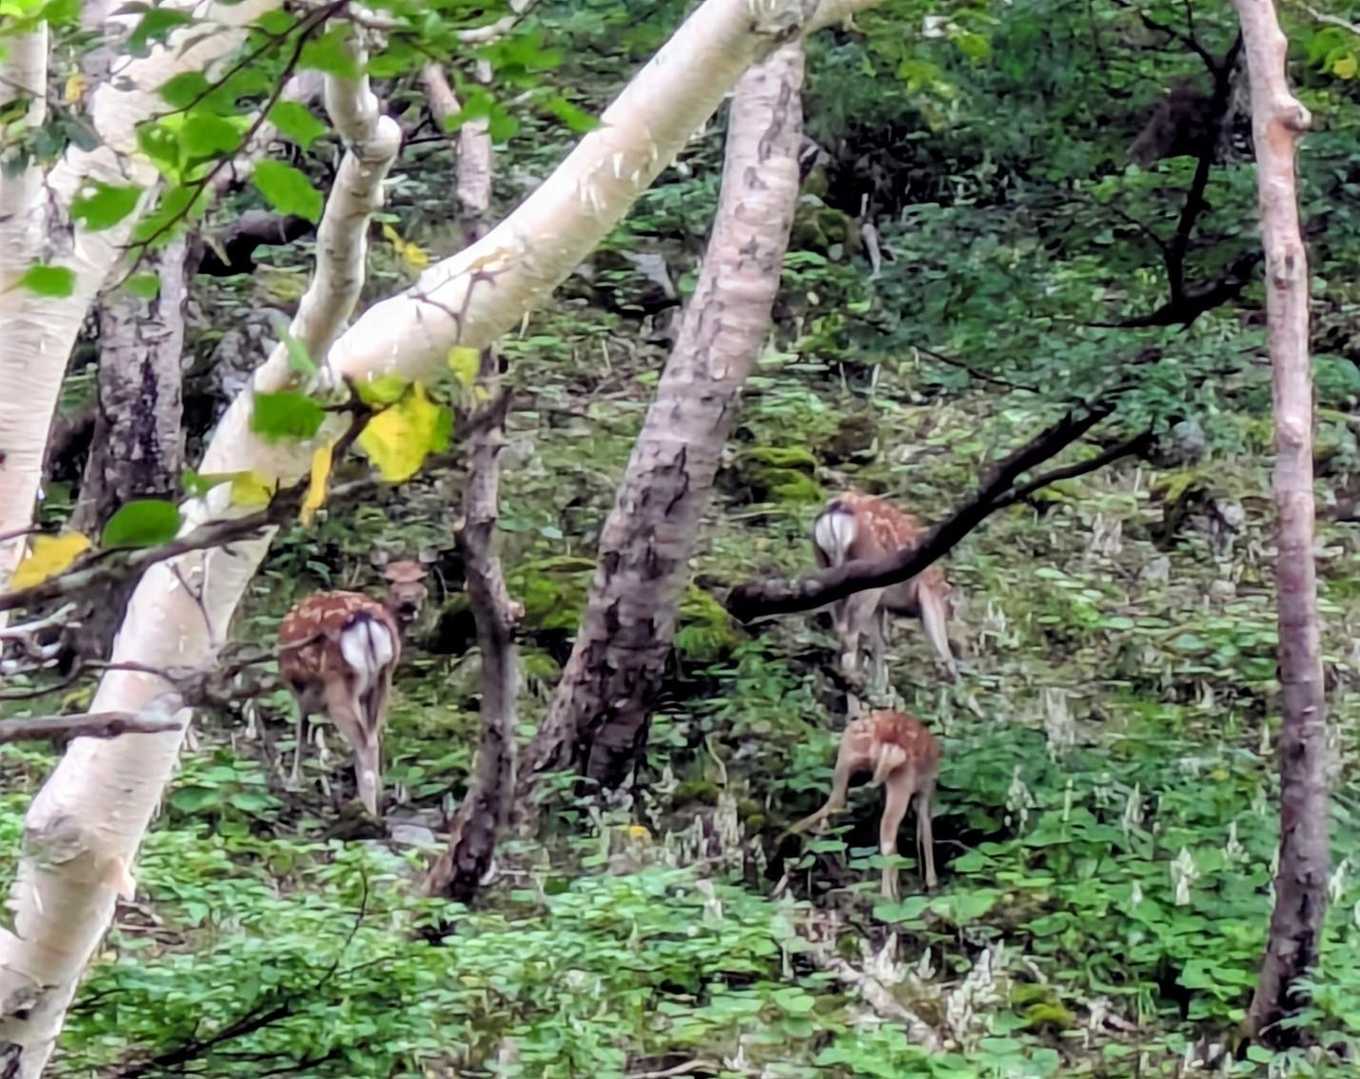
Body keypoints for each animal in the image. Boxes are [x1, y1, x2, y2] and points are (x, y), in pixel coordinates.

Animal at [276, 559, 429, 817]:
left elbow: (301, 729)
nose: (408, 603)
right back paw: (376, 801)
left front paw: (294, 781)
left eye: (421, 578)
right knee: (372, 739)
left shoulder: (298, 687)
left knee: (362, 743)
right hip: (382, 679)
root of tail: (363, 619)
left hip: (339, 683)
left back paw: (367, 810)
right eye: (390, 580)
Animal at [782, 709, 940, 900]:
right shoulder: (927, 788)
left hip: (845, 756)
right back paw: (888, 896)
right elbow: (926, 832)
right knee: (888, 835)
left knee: (834, 802)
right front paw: (932, 883)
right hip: (902, 778)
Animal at [812, 490, 957, 701]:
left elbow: (879, 643)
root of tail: (836, 511)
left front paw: (879, 691)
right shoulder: (927, 592)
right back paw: (852, 681)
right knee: (848, 633)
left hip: (824, 566)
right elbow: (936, 633)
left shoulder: (881, 604)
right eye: (951, 608)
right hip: (867, 576)